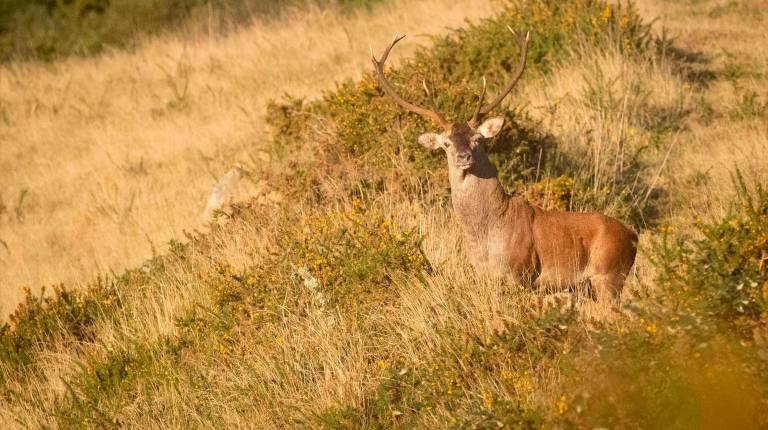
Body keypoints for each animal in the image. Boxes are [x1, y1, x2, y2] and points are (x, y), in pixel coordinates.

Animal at [372, 29, 638, 302]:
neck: (487, 239)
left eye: (478, 139)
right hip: (589, 286)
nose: (464, 157)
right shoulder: (484, 276)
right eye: (446, 143)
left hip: (609, 275)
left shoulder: (522, 273)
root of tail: (633, 235)